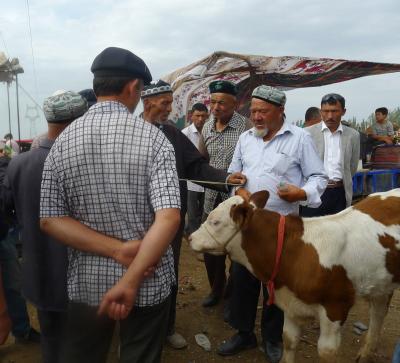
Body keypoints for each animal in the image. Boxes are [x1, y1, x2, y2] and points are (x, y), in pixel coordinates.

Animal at [189, 191, 400, 363]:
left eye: (215, 221)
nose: (190, 237)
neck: (295, 251)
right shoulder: (290, 303)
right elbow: (289, 340)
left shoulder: (336, 307)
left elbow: (327, 352)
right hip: (383, 280)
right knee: (379, 311)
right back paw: (365, 353)